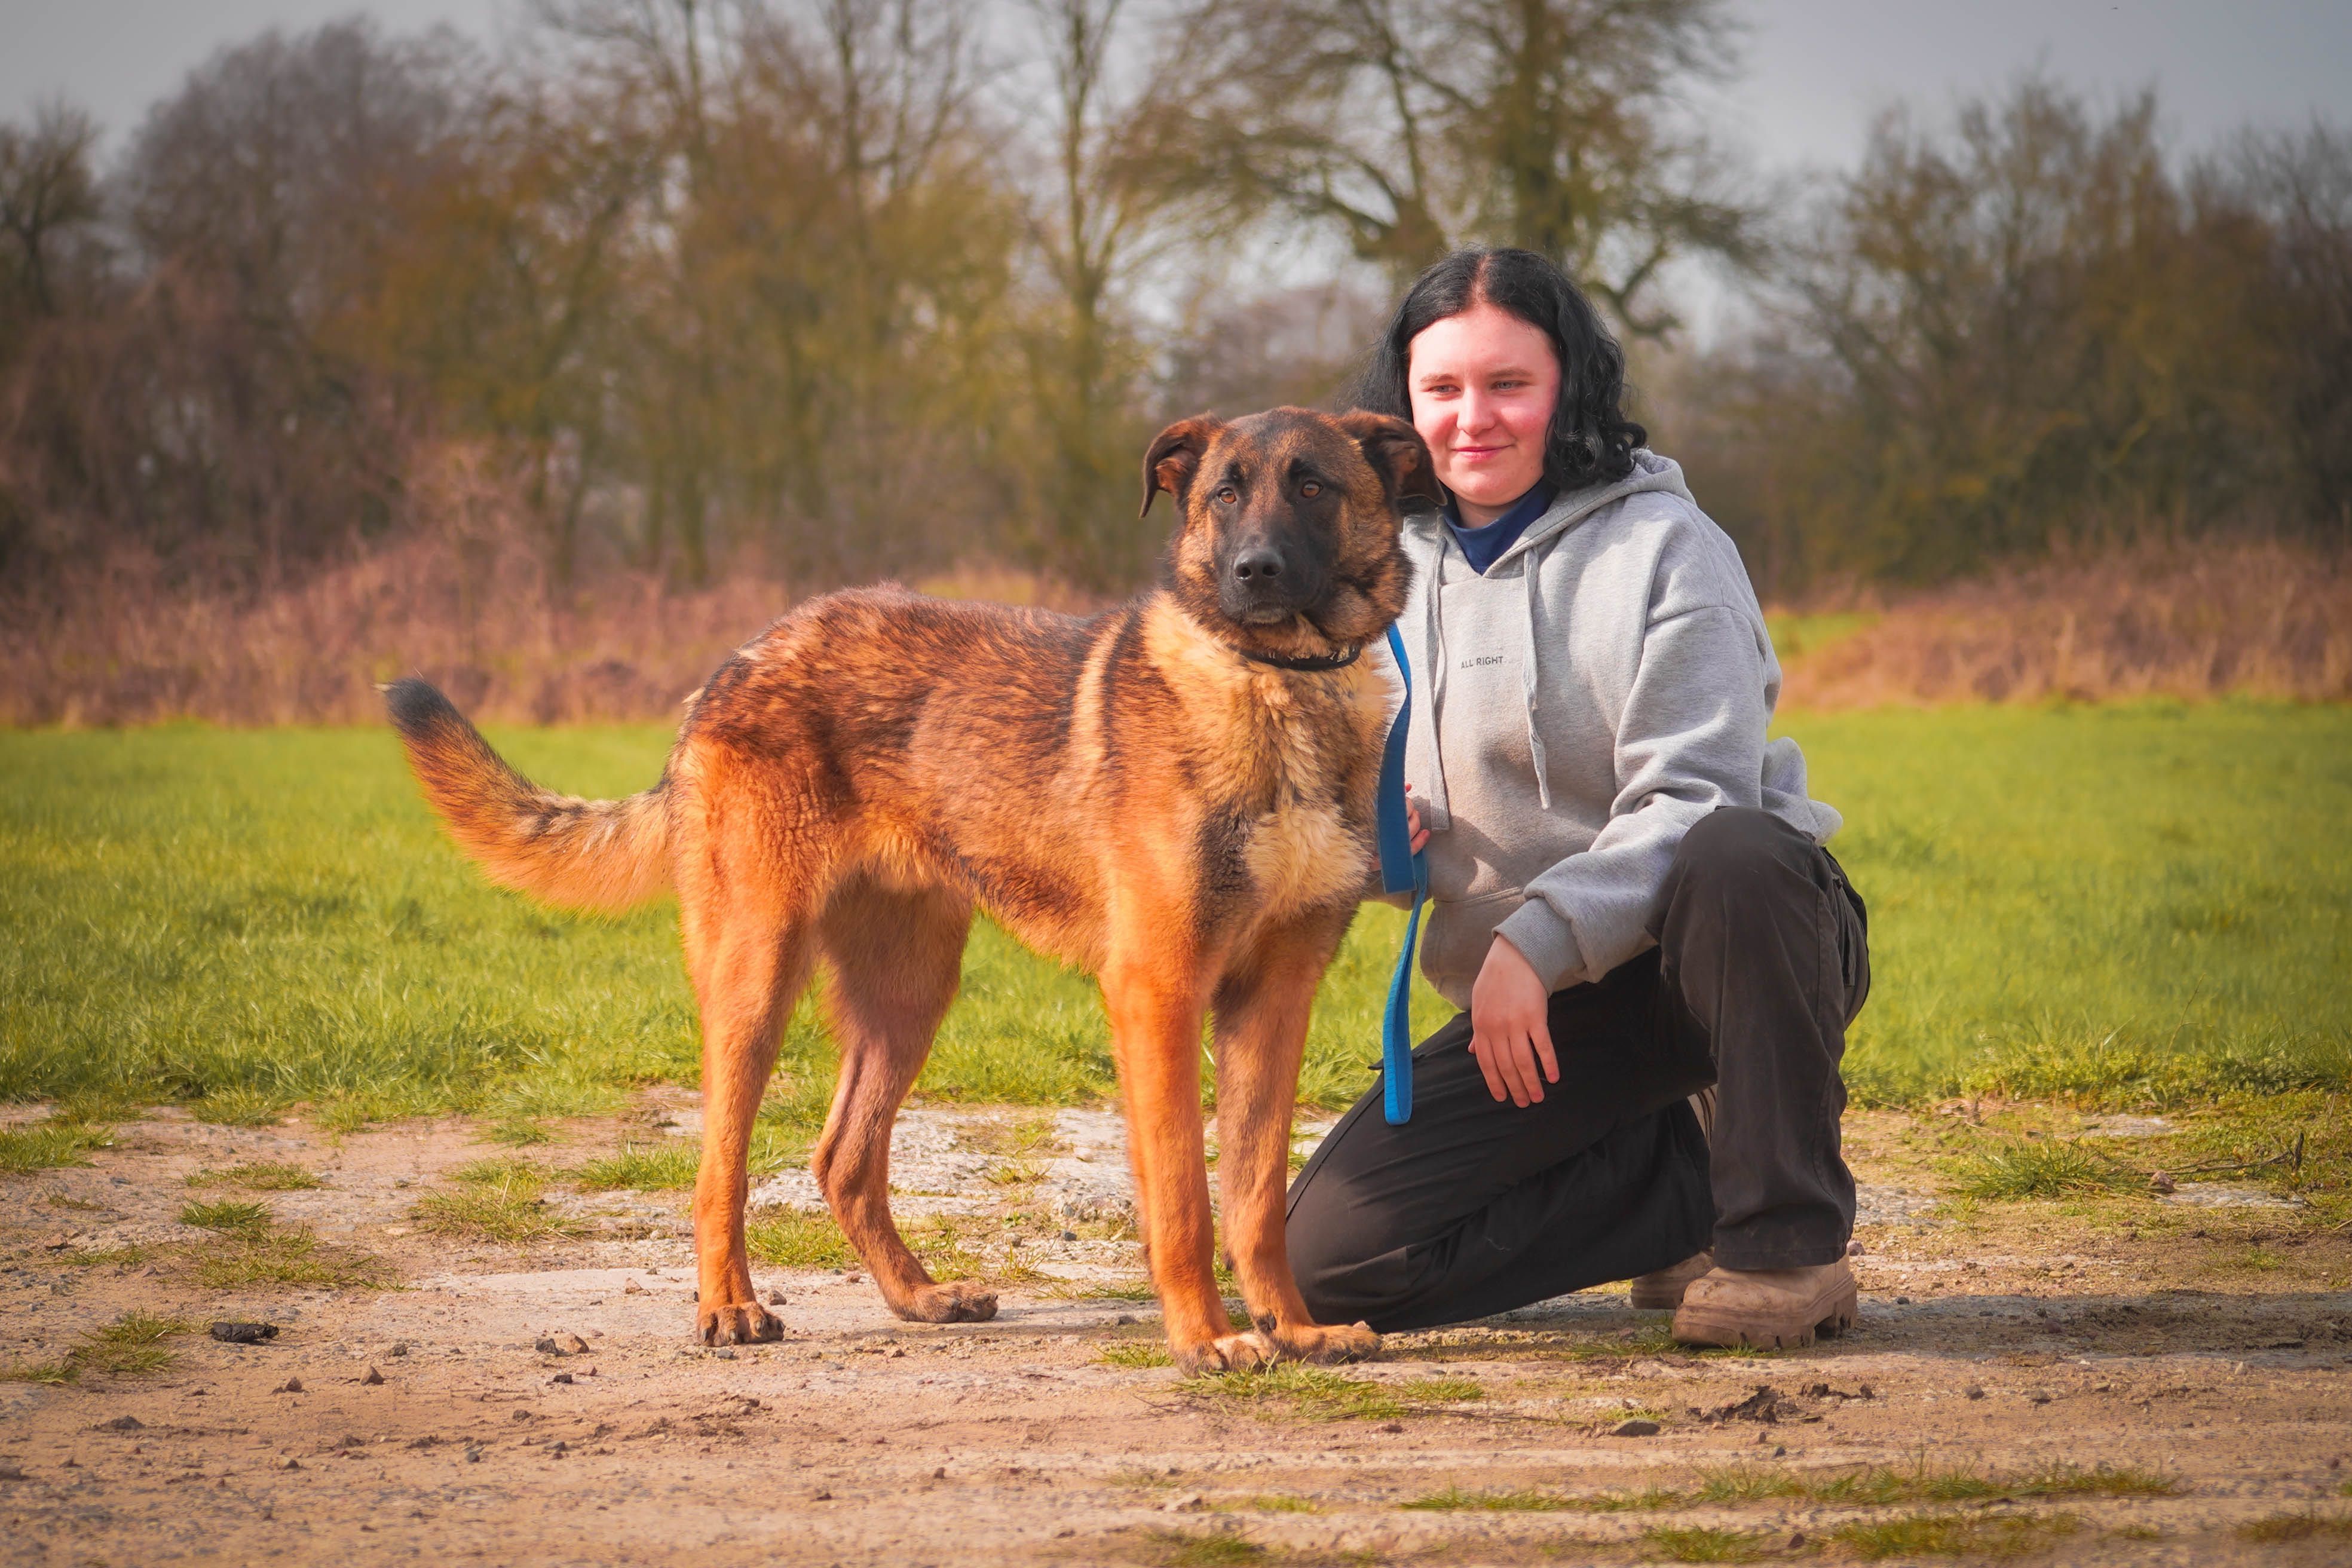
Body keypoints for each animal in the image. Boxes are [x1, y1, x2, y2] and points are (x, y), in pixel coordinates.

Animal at [390, 404, 1430, 1373]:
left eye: (1311, 487)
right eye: (1225, 493)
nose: (1254, 572)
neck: (1279, 688)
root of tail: (740, 660)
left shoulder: (1274, 1000)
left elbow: (1255, 1195)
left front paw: (1294, 1328)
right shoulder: (1158, 992)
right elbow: (1183, 1197)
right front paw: (1207, 1339)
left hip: (909, 995)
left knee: (842, 1157)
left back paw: (918, 1297)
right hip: (756, 979)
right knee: (720, 1163)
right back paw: (729, 1306)